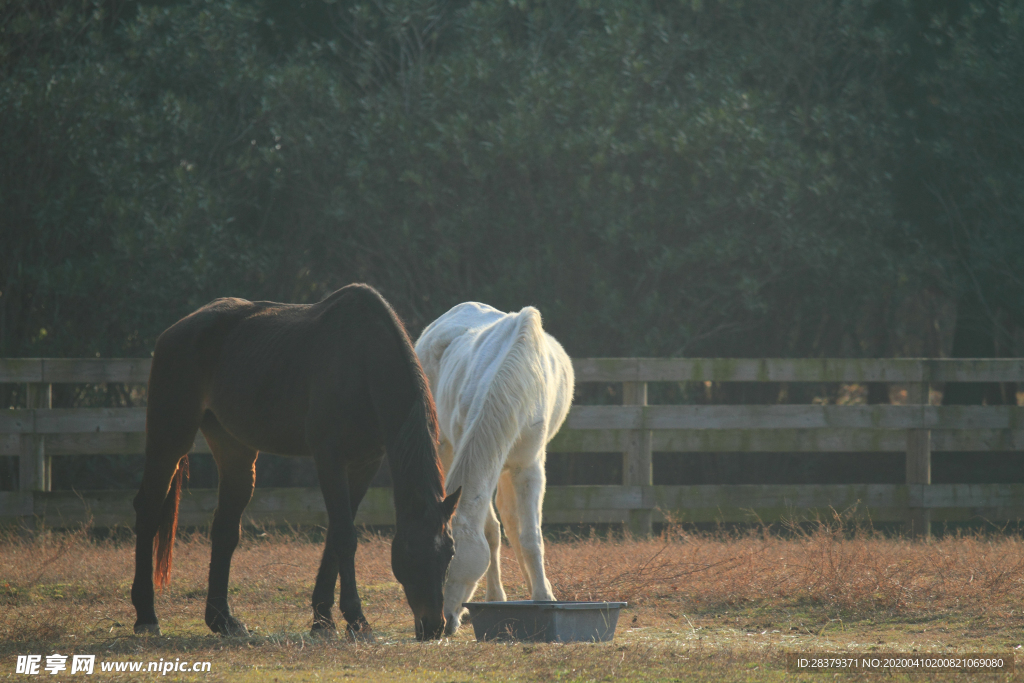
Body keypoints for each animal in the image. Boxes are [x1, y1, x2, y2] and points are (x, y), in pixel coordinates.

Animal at [131, 282, 460, 643]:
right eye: (411, 551)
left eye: (450, 553)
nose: (433, 626)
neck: (362, 363)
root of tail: (174, 332)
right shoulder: (329, 458)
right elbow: (345, 536)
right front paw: (356, 620)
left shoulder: (365, 464)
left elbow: (335, 536)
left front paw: (323, 619)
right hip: (169, 440)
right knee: (148, 512)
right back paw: (146, 616)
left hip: (234, 449)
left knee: (225, 529)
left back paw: (223, 621)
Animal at [415, 301, 577, 634]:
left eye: (449, 559)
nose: (438, 626)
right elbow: (490, 532)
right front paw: (495, 599)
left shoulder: (529, 468)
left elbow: (530, 536)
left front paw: (544, 597)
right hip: (446, 447)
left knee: (515, 523)